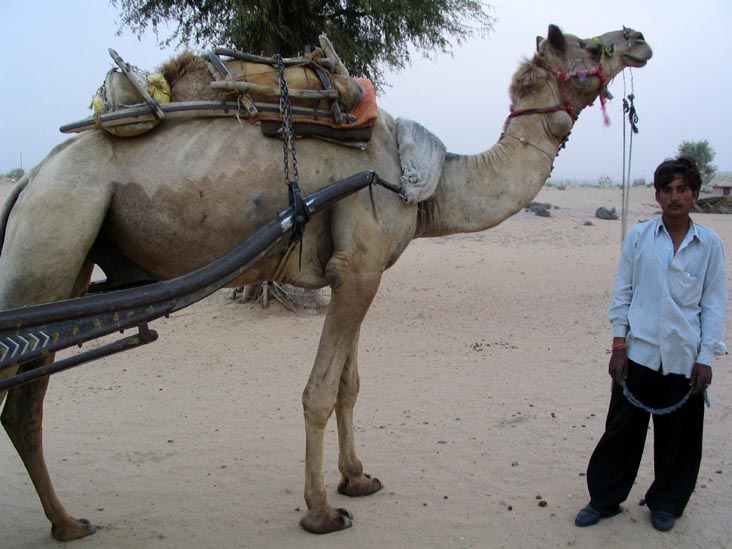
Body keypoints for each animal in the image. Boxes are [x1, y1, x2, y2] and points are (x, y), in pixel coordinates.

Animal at [0, 25, 652, 540]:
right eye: (589, 43)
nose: (639, 37)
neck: (423, 182)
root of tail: (29, 180)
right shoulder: (359, 265)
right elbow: (318, 392)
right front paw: (319, 511)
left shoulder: (357, 272)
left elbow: (349, 386)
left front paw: (357, 478)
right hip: (51, 241)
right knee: (23, 399)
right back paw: (68, 521)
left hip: (69, 266)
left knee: (23, 405)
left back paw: (66, 522)